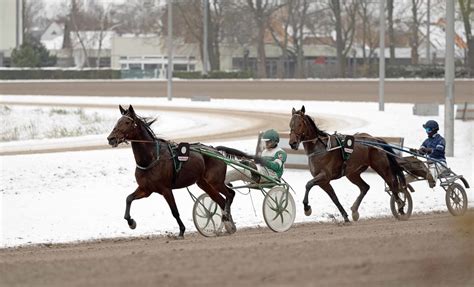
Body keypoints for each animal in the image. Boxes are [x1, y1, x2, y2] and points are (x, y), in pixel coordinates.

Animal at [106, 106, 235, 238]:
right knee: (221, 200)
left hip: (215, 181)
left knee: (230, 194)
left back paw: (227, 219)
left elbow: (174, 211)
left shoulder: (166, 189)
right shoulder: (146, 189)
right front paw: (131, 222)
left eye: (127, 122)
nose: (111, 138)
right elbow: (129, 198)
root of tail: (216, 150)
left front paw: (182, 230)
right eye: (118, 121)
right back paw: (229, 224)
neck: (151, 158)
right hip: (204, 183)